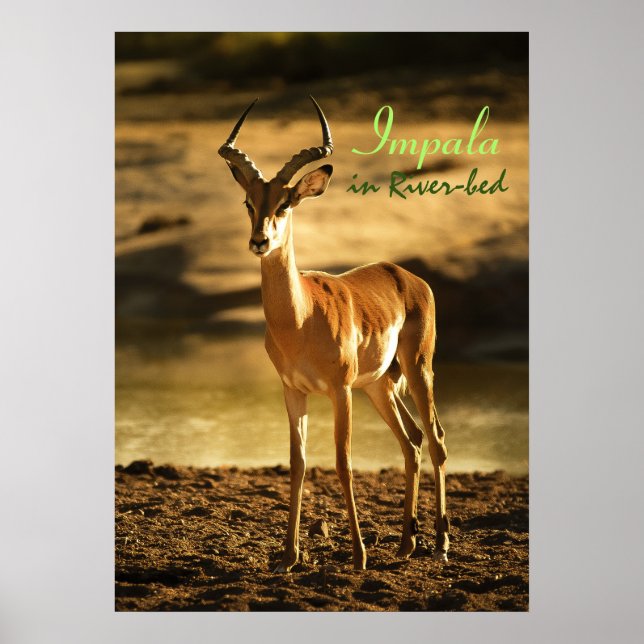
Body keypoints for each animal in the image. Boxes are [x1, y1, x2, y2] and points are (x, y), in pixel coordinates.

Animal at [218, 97, 449, 572]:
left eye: (285, 203)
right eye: (249, 201)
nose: (259, 241)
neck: (300, 320)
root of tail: (407, 276)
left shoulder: (340, 391)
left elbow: (343, 462)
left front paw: (358, 555)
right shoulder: (293, 391)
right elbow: (298, 463)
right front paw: (288, 556)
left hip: (418, 369)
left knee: (435, 438)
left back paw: (439, 544)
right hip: (380, 385)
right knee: (413, 441)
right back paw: (406, 544)